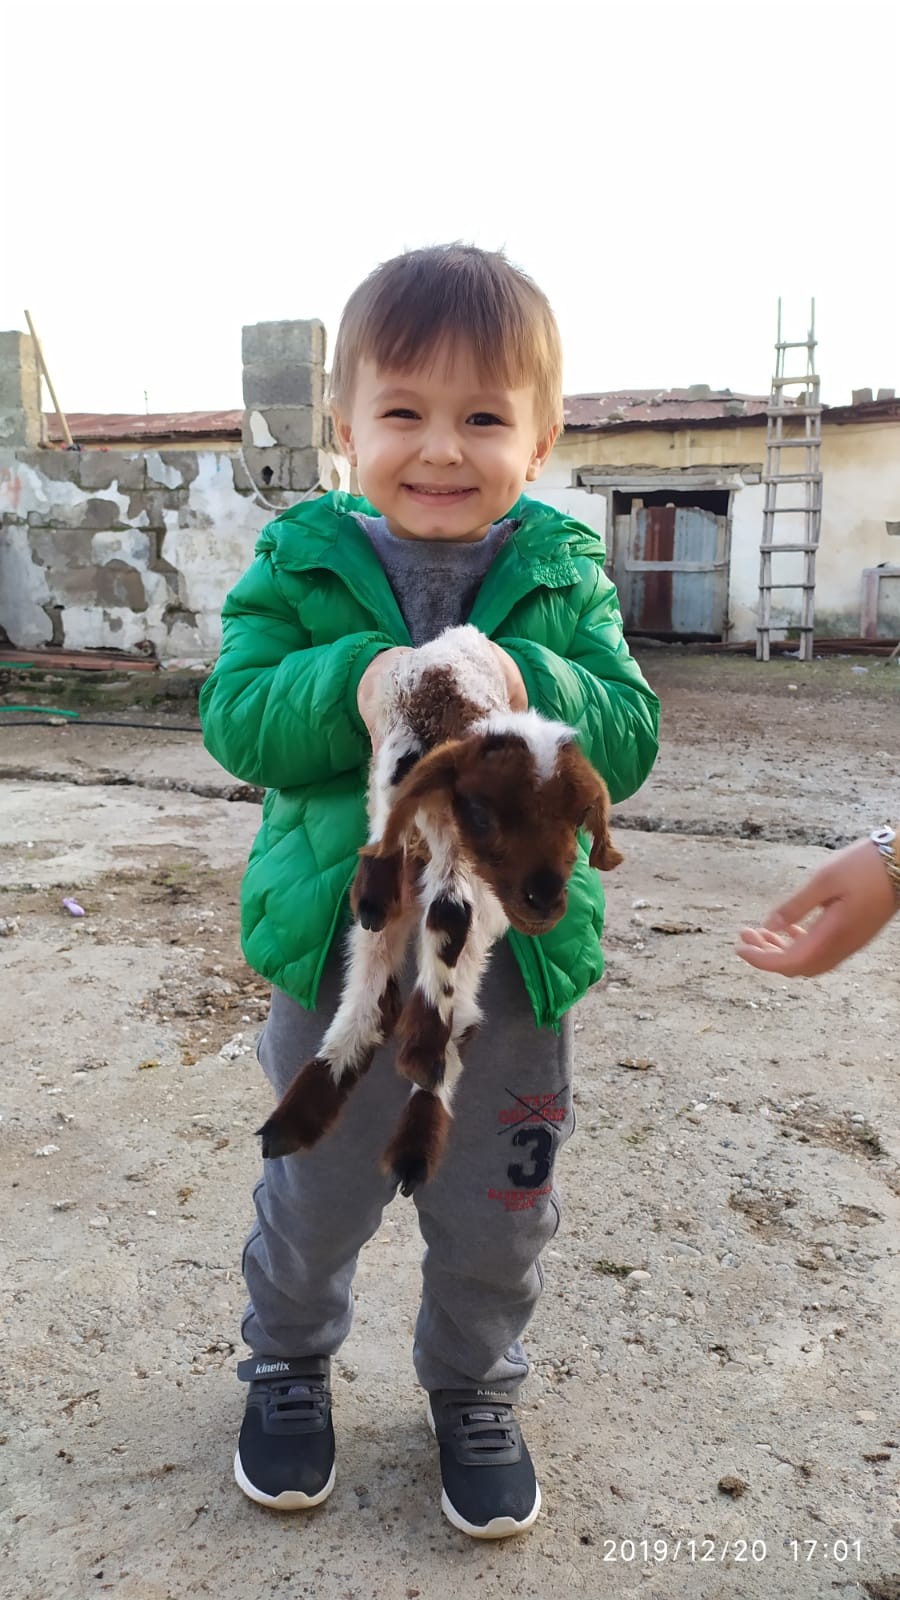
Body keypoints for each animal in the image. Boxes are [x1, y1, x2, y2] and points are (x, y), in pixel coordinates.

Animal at [256, 630, 621, 1196]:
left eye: (581, 817)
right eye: (482, 812)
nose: (545, 902)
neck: (447, 694)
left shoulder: (458, 860)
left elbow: (452, 915)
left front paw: (423, 1053)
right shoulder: (402, 768)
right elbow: (396, 833)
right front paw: (373, 888)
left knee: (460, 1017)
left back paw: (414, 1139)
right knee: (372, 996)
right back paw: (292, 1121)